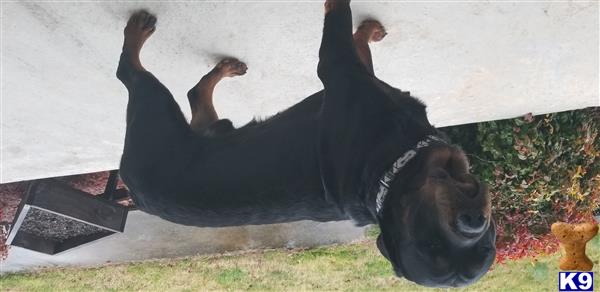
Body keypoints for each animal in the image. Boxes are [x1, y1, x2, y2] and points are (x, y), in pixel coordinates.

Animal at [117, 0, 496, 288]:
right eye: (432, 242)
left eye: (482, 246)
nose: (473, 220)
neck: (389, 170)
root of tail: (131, 189)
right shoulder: (341, 67)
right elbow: (344, 26)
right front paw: (367, 30)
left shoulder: (352, 74)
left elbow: (349, 34)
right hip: (157, 106)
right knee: (130, 73)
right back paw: (141, 35)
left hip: (197, 123)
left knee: (187, 94)